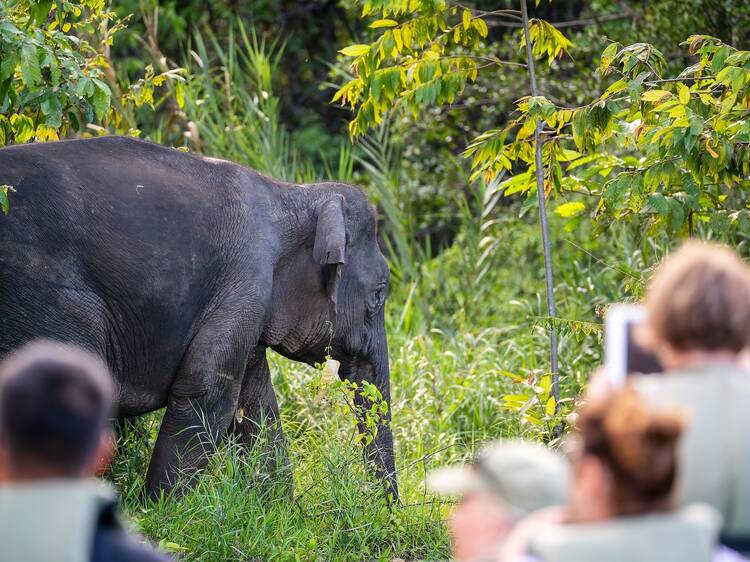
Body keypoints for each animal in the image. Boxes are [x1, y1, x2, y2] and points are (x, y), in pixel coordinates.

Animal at [0, 136, 400, 498]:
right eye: (378, 295)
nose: (387, 512)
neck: (290, 194)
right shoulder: (243, 282)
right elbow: (208, 396)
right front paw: (160, 512)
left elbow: (256, 404)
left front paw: (281, 511)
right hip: (46, 302)